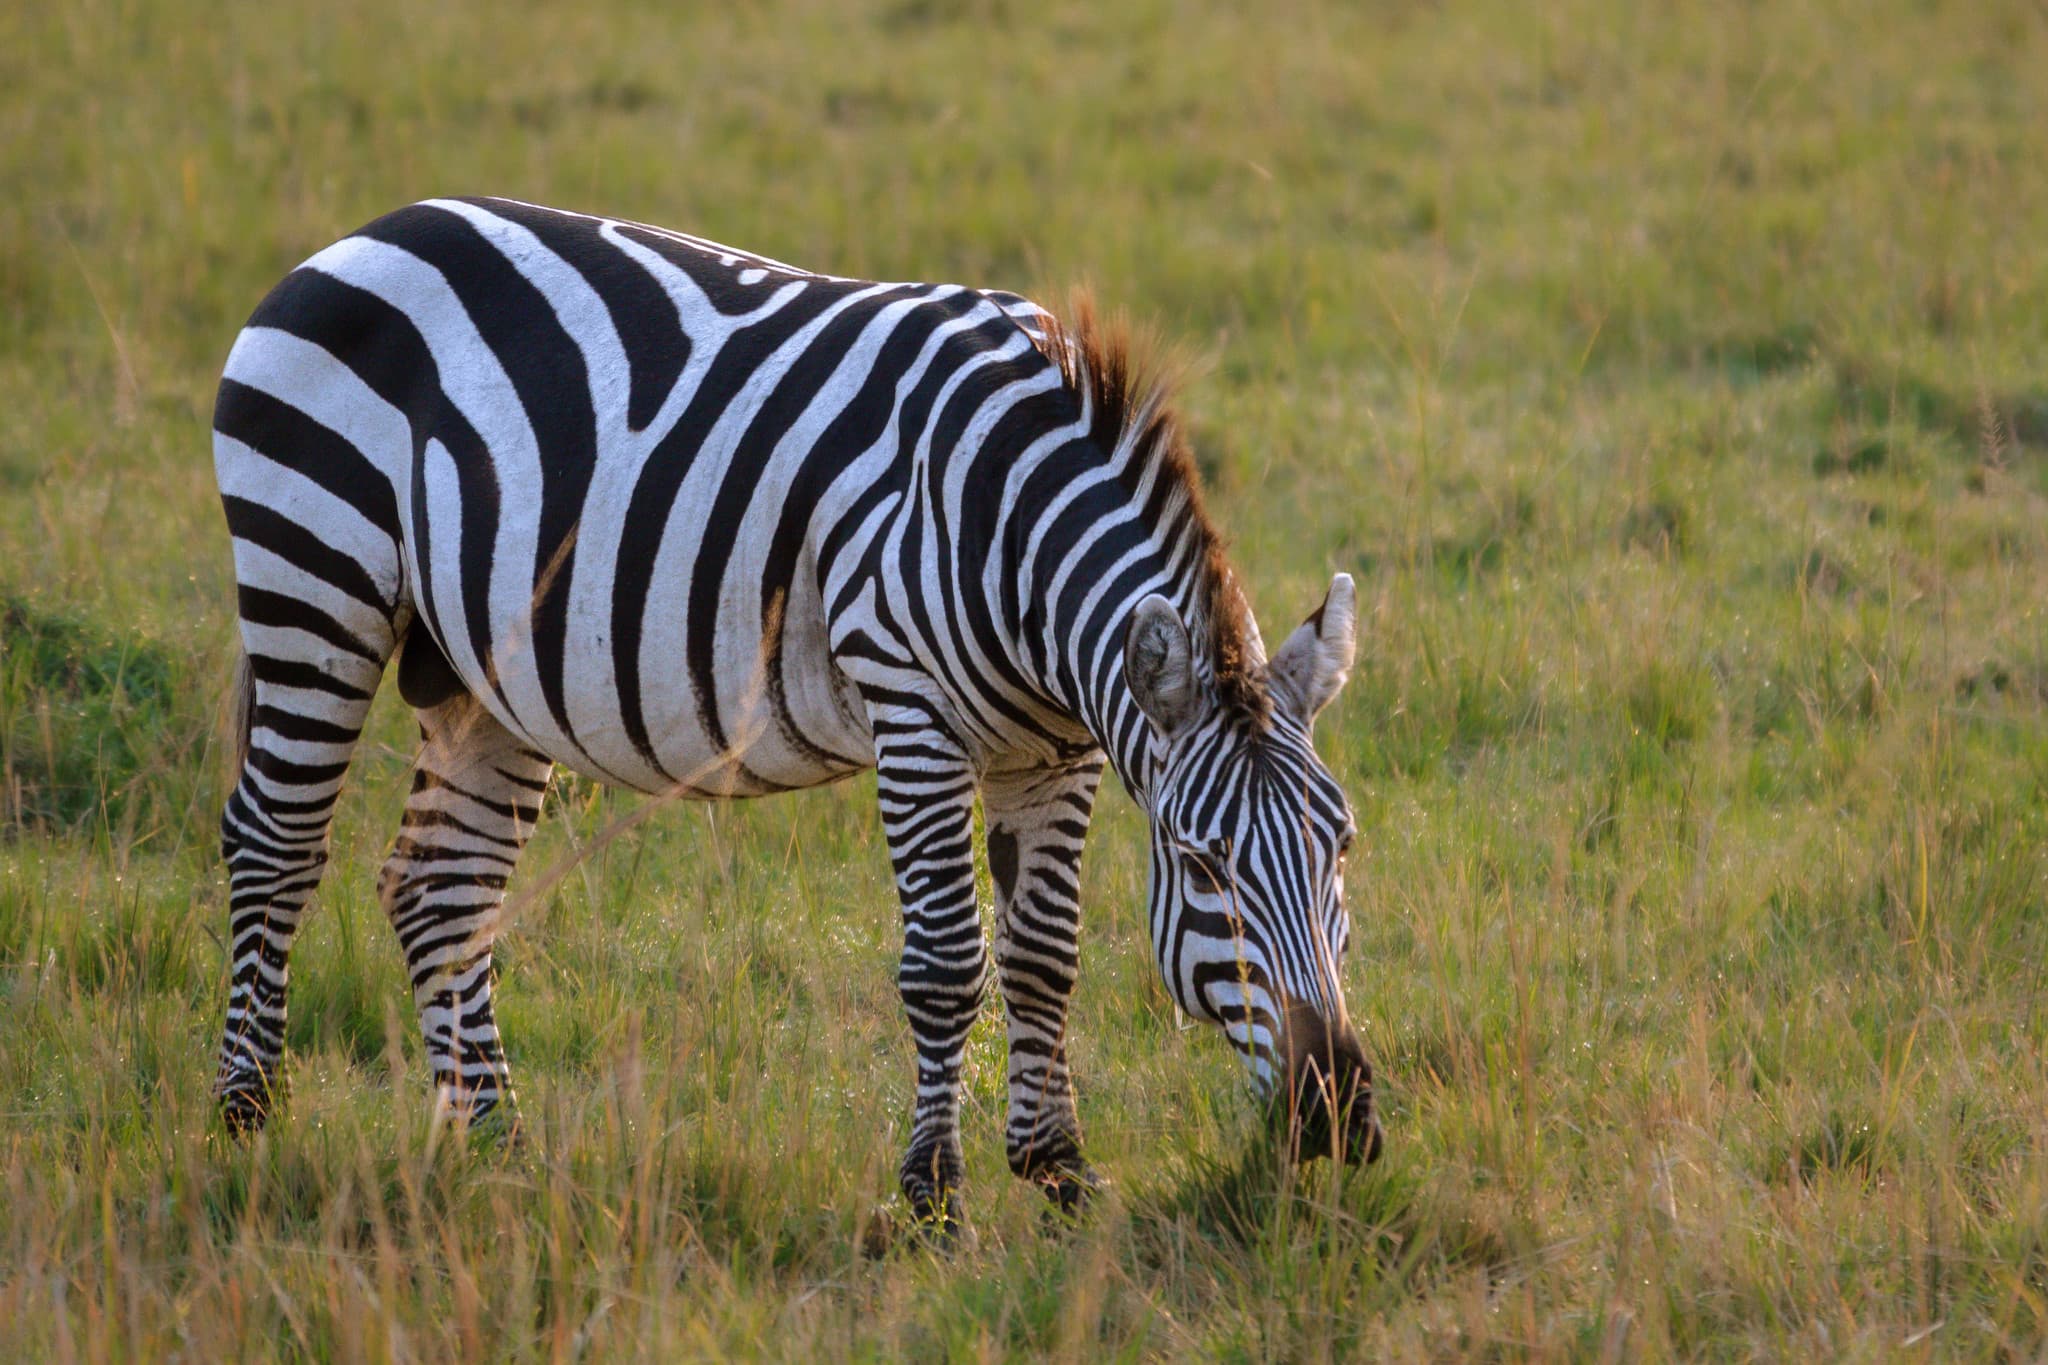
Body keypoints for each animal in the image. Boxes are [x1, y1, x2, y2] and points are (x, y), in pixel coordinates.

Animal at [210, 196, 1380, 1235]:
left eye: (1343, 847)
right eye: (1202, 864)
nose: (1338, 1113)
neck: (1013, 533)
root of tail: (365, 234)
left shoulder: (1057, 750)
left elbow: (1046, 955)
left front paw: (1058, 1173)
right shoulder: (913, 714)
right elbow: (948, 963)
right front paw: (933, 1199)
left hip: (478, 669)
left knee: (439, 889)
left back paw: (496, 1147)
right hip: (312, 576)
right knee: (273, 845)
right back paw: (247, 1116)